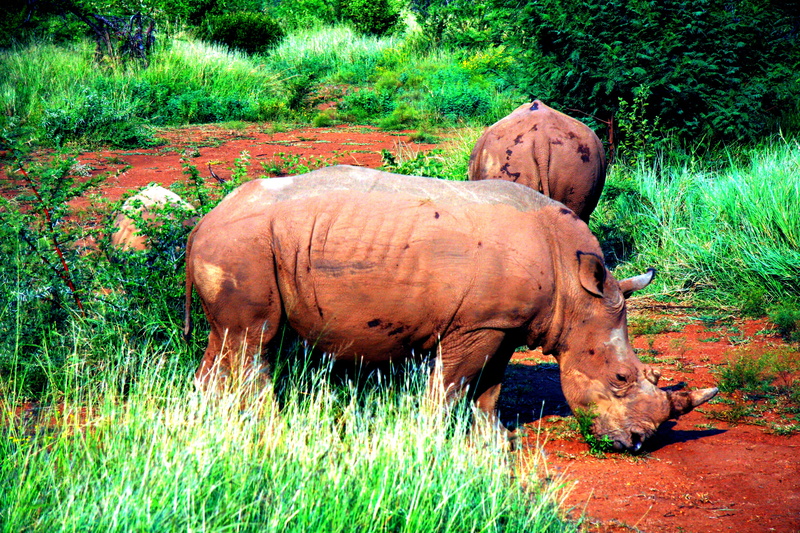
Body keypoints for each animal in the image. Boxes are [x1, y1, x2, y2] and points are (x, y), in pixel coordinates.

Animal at [184, 165, 716, 452]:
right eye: (622, 378)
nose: (635, 444)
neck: (573, 287)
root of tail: (201, 223)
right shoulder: (477, 323)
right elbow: (452, 382)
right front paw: (431, 437)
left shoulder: (505, 324)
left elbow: (491, 386)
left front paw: (495, 440)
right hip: (245, 246)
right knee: (255, 340)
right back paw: (267, 427)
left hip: (242, 245)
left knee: (227, 341)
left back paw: (206, 422)